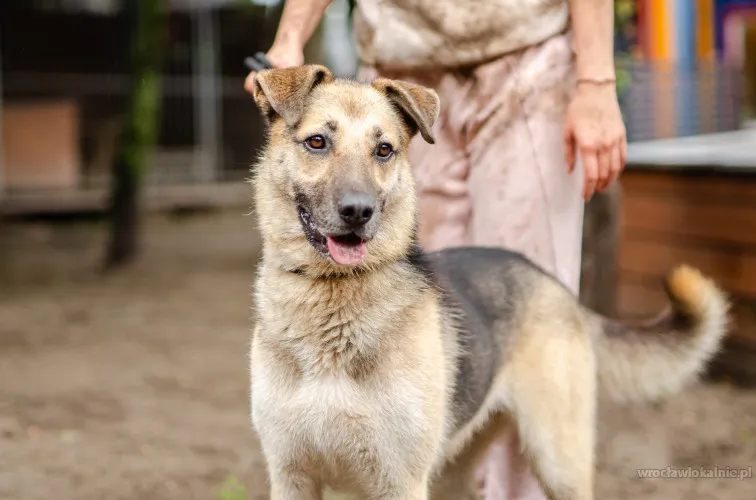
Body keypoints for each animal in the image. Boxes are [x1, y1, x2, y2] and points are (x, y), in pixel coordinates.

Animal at [250, 64, 732, 498]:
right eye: (317, 141)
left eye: (383, 150)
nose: (358, 211)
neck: (332, 299)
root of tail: (555, 285)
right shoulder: (291, 476)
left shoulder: (401, 482)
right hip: (456, 472)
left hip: (557, 459)